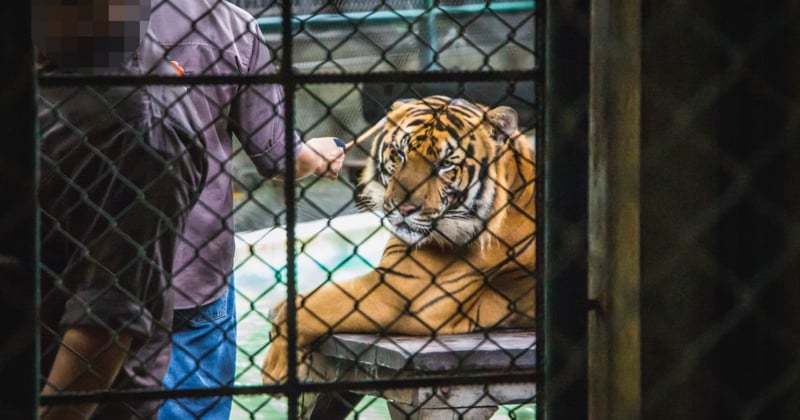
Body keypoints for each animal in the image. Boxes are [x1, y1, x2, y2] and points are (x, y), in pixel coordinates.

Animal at [264, 95, 536, 384]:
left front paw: (275, 367)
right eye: (400, 154)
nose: (404, 208)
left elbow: (305, 306)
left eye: (445, 165)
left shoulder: (401, 294)